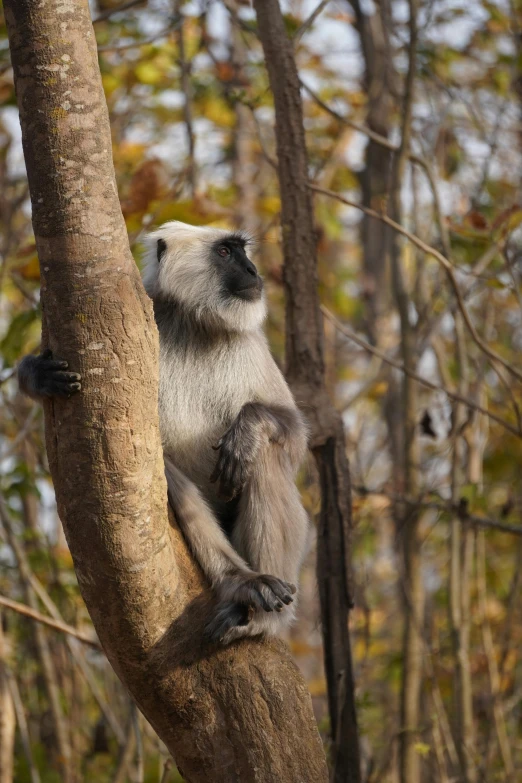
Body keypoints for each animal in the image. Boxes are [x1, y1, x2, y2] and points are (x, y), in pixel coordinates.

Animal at [18, 220, 308, 644]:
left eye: (241, 251)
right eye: (226, 253)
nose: (253, 271)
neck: (193, 325)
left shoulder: (249, 340)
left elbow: (294, 434)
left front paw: (247, 429)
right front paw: (37, 375)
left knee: (264, 456)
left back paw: (262, 618)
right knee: (162, 465)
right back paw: (239, 581)